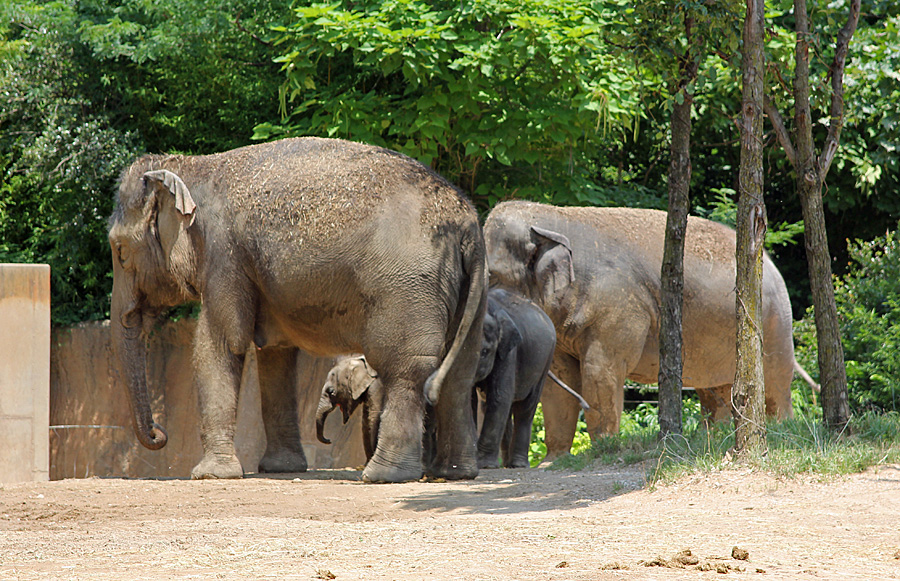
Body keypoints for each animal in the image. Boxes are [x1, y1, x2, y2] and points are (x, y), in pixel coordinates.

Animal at [108, 137, 486, 483]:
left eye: (120, 251)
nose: (158, 433)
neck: (194, 166)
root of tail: (467, 226)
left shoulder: (224, 254)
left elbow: (220, 345)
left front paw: (210, 475)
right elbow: (276, 353)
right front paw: (280, 469)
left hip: (407, 287)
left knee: (404, 369)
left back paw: (383, 476)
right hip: (471, 291)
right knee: (459, 372)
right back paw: (454, 474)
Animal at [483, 201, 796, 460]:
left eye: (492, 277)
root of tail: (769, 261)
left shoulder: (618, 306)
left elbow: (600, 372)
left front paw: (604, 448)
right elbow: (559, 380)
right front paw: (553, 461)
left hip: (774, 319)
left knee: (776, 382)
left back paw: (781, 429)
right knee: (714, 390)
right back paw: (713, 435)